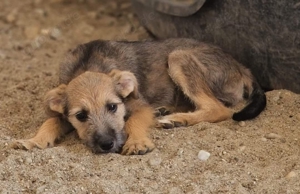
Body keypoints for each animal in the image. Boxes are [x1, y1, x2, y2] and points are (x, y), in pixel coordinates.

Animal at [13, 38, 268, 155]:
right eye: (81, 116)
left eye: (113, 107)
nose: (107, 145)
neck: (87, 65)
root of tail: (240, 66)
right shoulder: (63, 113)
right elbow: (50, 121)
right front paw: (33, 140)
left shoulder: (139, 105)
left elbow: (133, 121)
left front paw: (136, 142)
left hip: (178, 57)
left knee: (219, 109)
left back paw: (176, 119)